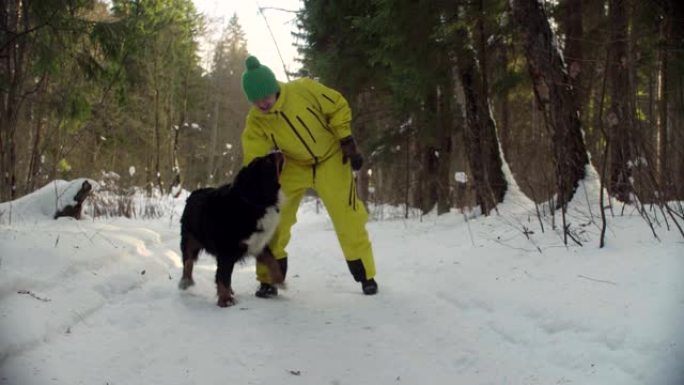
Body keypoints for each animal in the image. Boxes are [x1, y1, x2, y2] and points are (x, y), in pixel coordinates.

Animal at [179, 152, 286, 308]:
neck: (254, 202)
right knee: (188, 261)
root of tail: (195, 192)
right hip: (190, 238)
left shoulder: (258, 243)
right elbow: (223, 276)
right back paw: (186, 282)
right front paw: (225, 300)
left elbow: (273, 262)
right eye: (266, 161)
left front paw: (279, 280)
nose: (277, 150)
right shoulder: (226, 251)